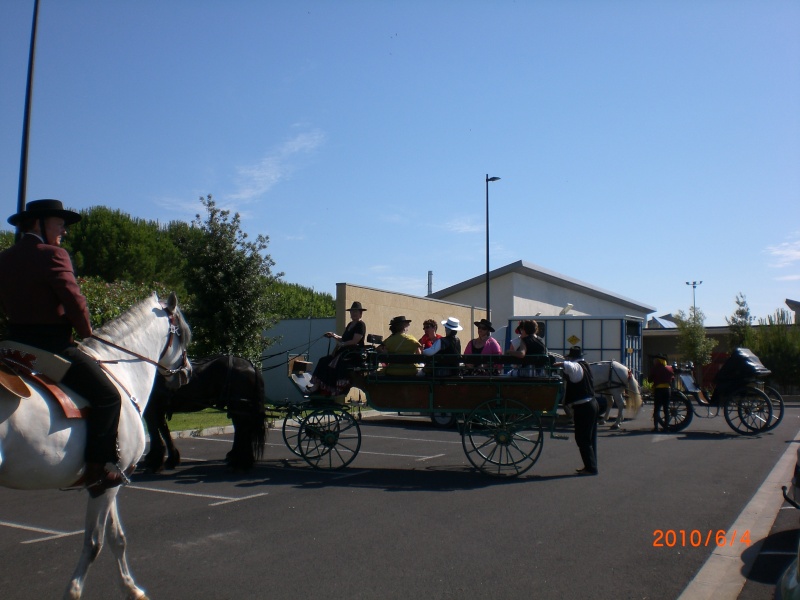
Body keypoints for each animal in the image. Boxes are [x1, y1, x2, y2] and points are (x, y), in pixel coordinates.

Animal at [0, 294, 191, 600]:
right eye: (183, 334)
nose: (186, 372)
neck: (121, 372)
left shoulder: (107, 479)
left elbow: (117, 538)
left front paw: (131, 588)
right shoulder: (107, 484)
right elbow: (94, 543)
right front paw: (73, 592)